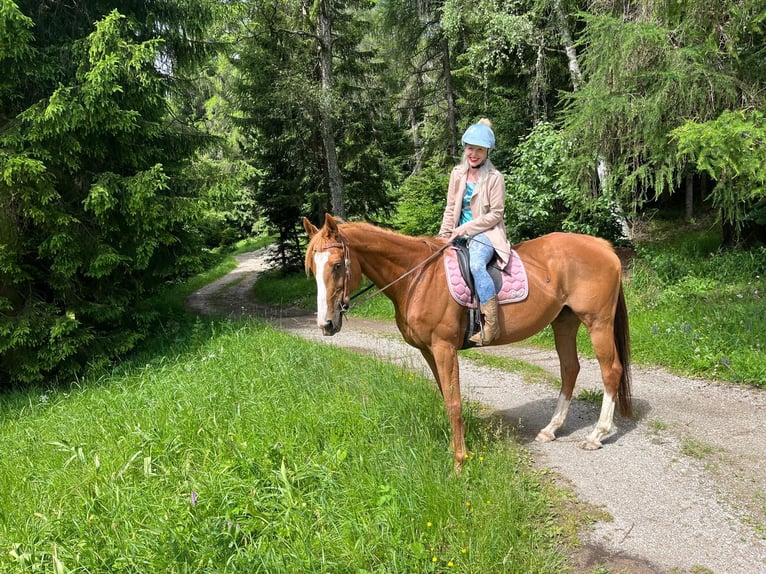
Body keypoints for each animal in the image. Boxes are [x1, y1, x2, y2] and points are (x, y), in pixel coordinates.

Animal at [304, 216, 632, 472]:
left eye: (336, 265)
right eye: (313, 269)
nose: (326, 324)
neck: (418, 278)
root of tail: (602, 247)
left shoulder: (444, 347)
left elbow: (454, 401)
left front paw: (459, 461)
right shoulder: (428, 351)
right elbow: (446, 396)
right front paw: (459, 447)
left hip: (597, 322)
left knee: (610, 370)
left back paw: (597, 435)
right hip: (564, 321)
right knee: (569, 369)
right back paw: (551, 429)